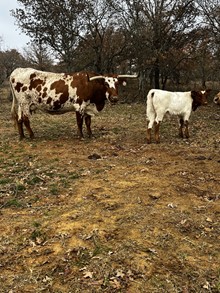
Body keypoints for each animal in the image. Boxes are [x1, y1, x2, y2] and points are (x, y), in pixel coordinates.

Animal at [10, 68, 138, 139]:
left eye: (117, 84)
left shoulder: (87, 107)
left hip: (21, 104)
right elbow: (79, 122)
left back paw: (22, 136)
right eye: (106, 84)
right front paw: (81, 136)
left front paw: (90, 134)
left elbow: (88, 122)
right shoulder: (79, 106)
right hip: (25, 103)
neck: (90, 85)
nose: (114, 98)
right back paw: (32, 135)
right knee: (25, 119)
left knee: (19, 119)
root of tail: (17, 71)